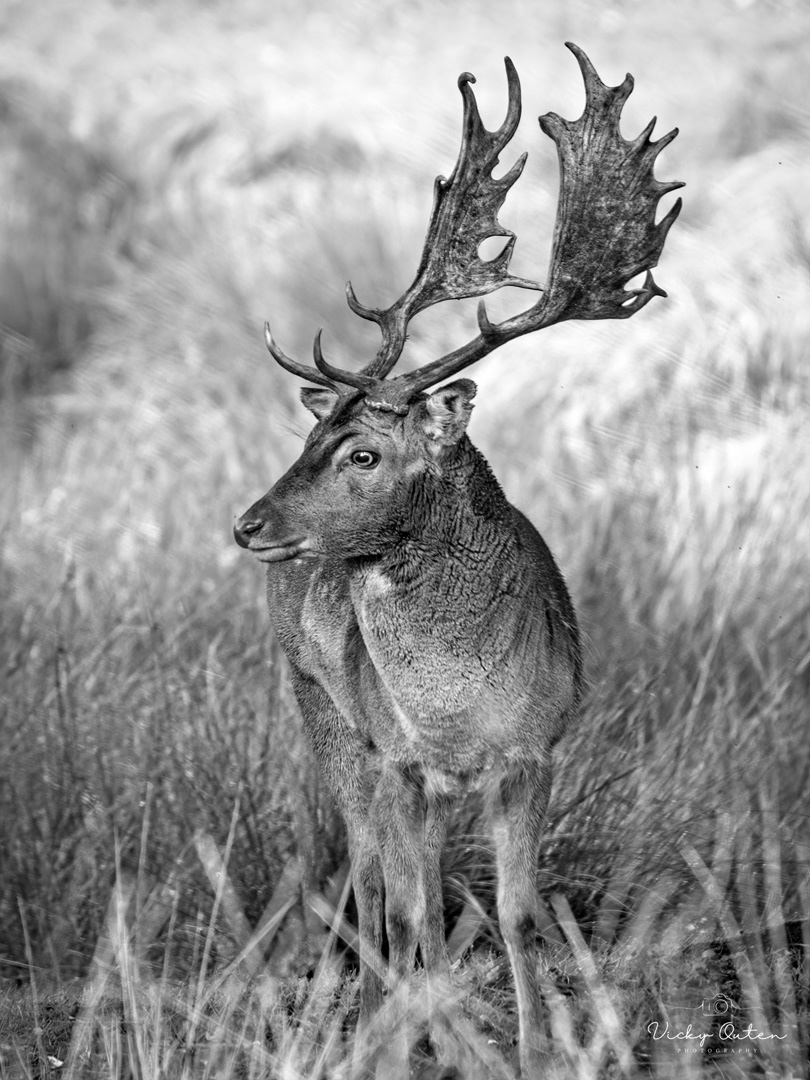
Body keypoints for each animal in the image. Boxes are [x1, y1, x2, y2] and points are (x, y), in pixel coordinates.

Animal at [234, 43, 682, 1077]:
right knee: (369, 885)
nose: (249, 525)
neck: (458, 715)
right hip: (324, 715)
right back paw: (373, 1023)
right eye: (312, 435)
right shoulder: (401, 761)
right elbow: (413, 913)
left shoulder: (536, 751)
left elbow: (515, 913)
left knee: (398, 893)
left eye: (363, 453)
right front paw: (428, 1037)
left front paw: (532, 1047)